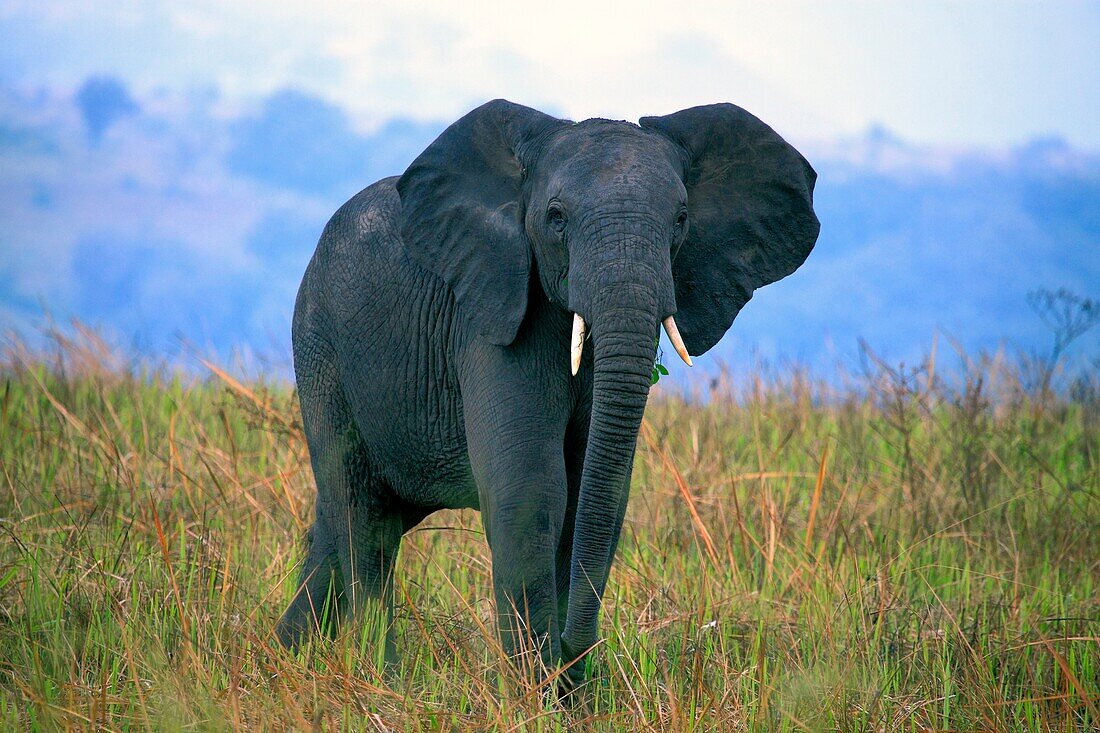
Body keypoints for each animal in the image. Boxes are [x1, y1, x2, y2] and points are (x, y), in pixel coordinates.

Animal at [275, 98, 818, 691]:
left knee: (341, 525)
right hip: (321, 350)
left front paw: (570, 696)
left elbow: (593, 495)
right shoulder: (491, 317)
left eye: (680, 220)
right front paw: (532, 695)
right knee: (364, 519)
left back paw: (281, 656)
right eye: (556, 217)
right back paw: (383, 681)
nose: (574, 653)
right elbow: (532, 489)